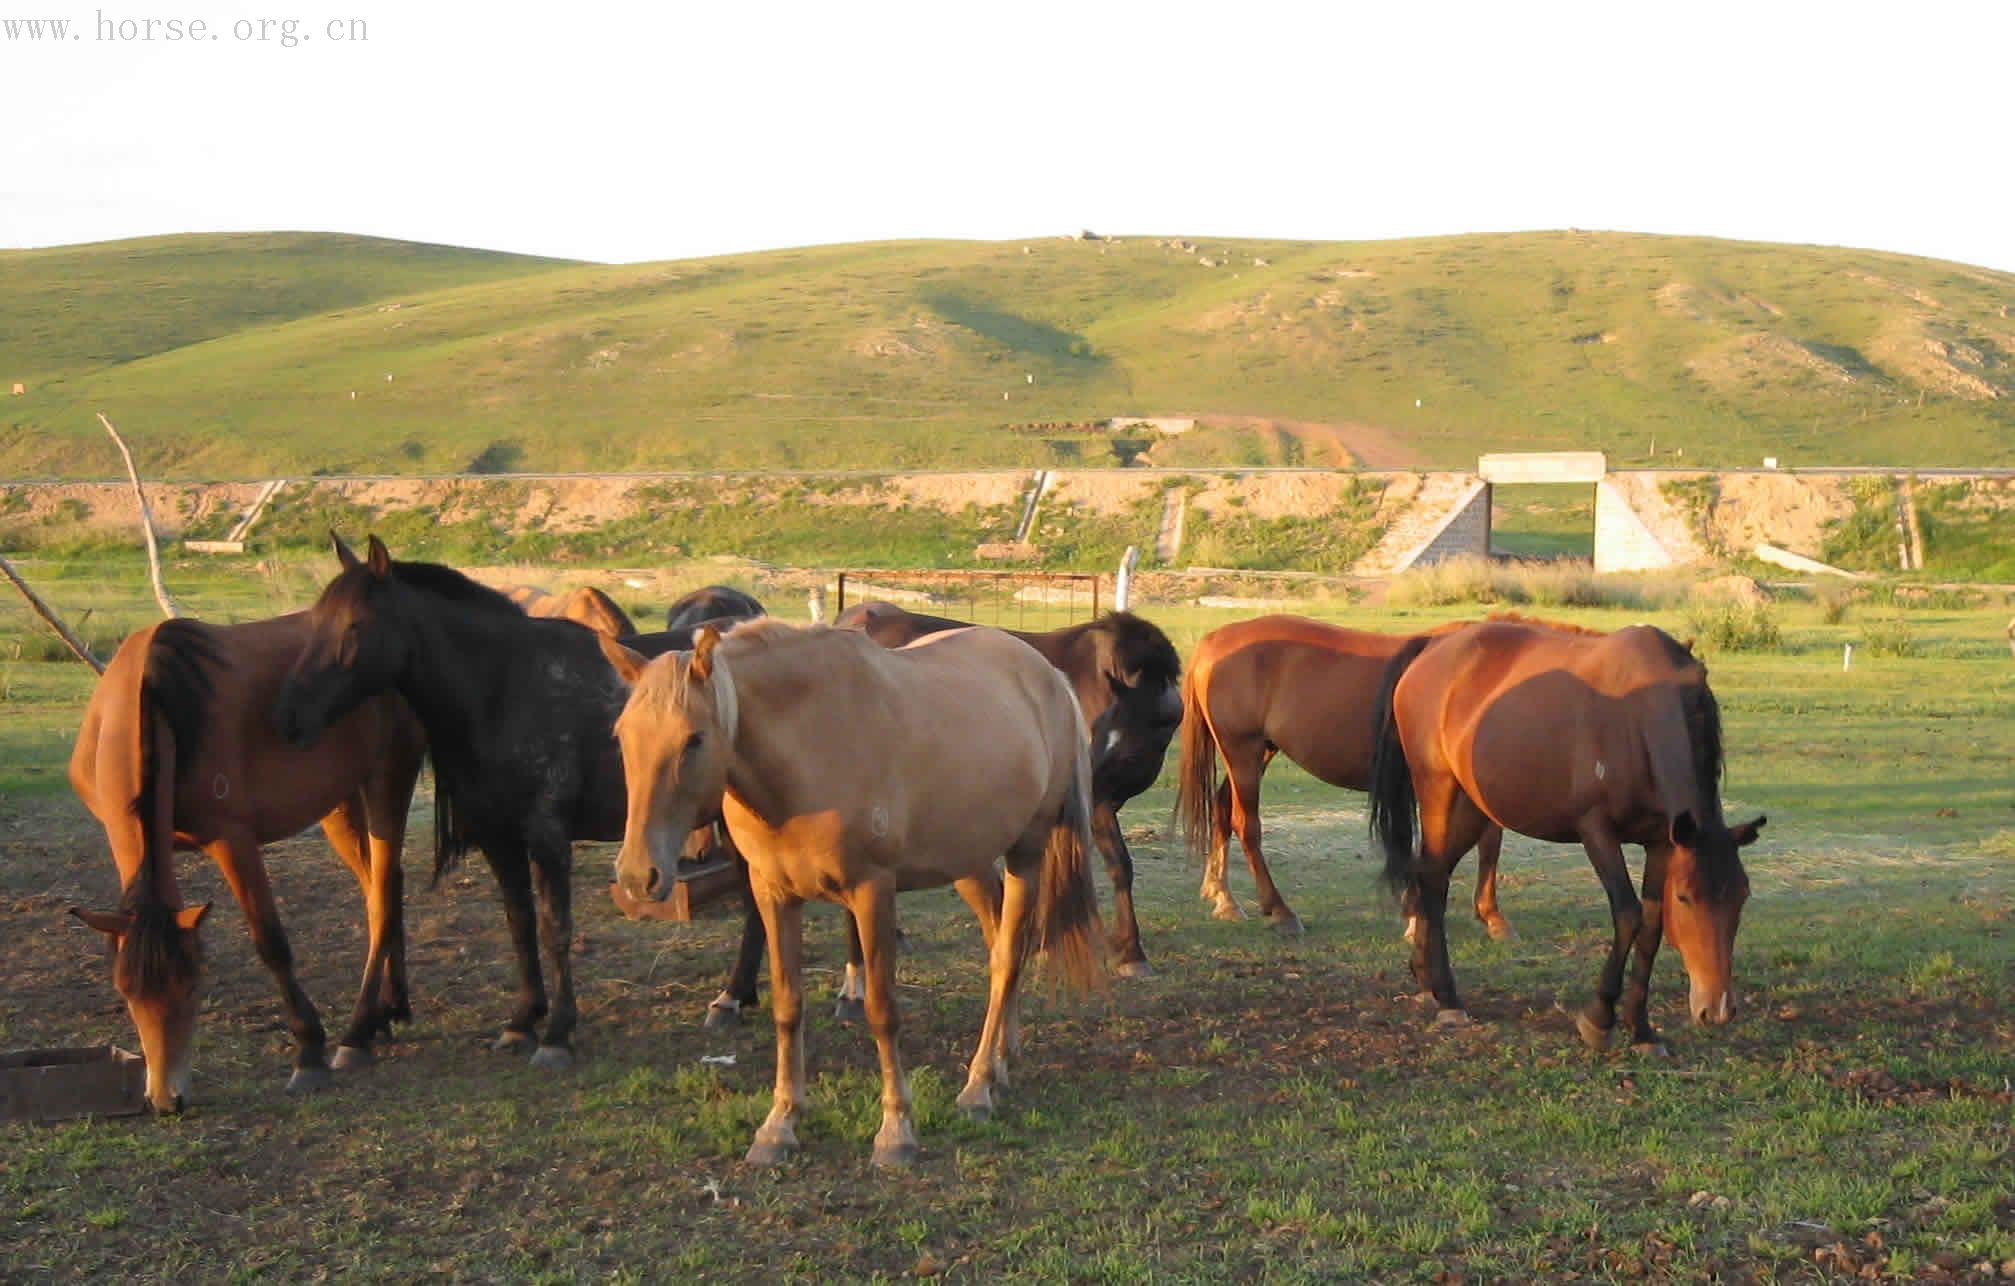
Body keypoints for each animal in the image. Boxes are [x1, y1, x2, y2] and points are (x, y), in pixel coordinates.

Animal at [66, 608, 423, 1112]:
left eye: (194, 984)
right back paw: (388, 1011)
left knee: (384, 898)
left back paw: (356, 1034)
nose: (167, 1099)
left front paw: (308, 1052)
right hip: (341, 802)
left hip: (389, 777)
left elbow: (271, 943)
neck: (158, 702)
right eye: (125, 991)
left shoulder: (233, 840)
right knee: (380, 889)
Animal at [600, 620, 1104, 1177]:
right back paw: (1001, 1059)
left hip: (1026, 852)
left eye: (694, 738)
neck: (811, 747)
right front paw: (779, 1124)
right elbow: (787, 1006)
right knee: (1000, 942)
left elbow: (882, 1011)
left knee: (1008, 956)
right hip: (969, 862)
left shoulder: (871, 892)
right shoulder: (773, 895)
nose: (638, 875)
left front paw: (896, 1131)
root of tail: (1049, 675)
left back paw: (977, 1086)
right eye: (621, 735)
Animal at [1168, 612, 1515, 935]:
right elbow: (1482, 842)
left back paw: (1224, 898)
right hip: (1242, 752)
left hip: (1258, 753)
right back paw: (1280, 911)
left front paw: (1485, 914)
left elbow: (1487, 842)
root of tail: (1214, 640)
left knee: (1222, 809)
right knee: (1245, 824)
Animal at [1370, 620, 1765, 1056]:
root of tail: (1432, 648)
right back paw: (1448, 999)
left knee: (1430, 874)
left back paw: (1426, 977)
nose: (1718, 1008)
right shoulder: (1597, 830)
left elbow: (1651, 926)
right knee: (1434, 881)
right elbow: (1628, 915)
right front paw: (1599, 1018)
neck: (1639, 720)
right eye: (1686, 898)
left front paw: (1641, 1029)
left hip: (1472, 808)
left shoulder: (1663, 842)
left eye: (1742, 896)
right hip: (1438, 792)